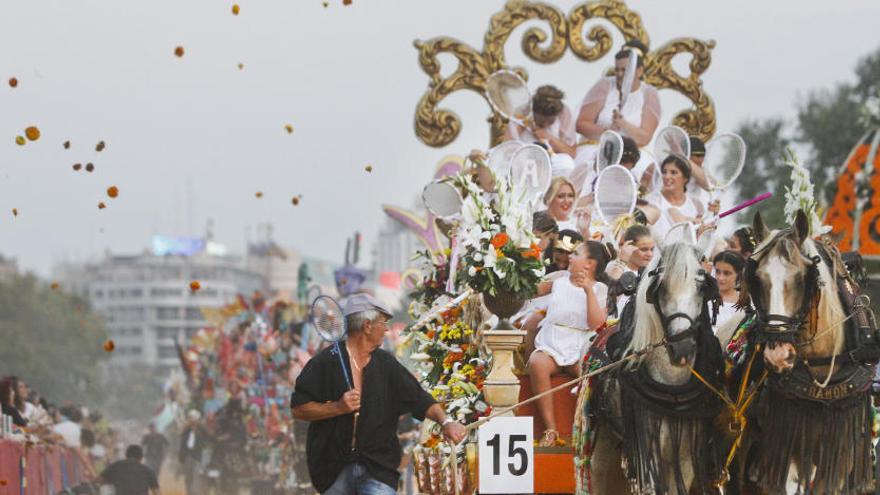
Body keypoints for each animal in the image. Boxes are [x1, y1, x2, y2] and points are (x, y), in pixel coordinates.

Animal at [588, 243, 724, 495]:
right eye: (661, 288)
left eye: (702, 288)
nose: (682, 348)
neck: (672, 393)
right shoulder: (648, 454)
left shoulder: (685, 455)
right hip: (602, 431)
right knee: (597, 469)